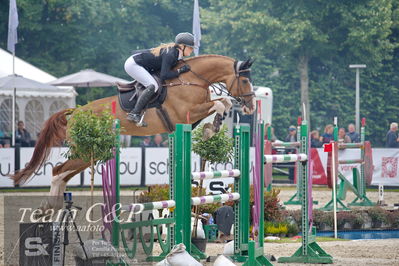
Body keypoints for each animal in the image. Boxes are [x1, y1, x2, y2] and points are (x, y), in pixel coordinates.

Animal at [13, 54, 256, 212]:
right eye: (245, 80)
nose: (250, 108)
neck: (191, 79)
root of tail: (75, 113)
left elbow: (223, 103)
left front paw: (210, 129)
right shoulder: (187, 112)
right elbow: (221, 103)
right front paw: (210, 129)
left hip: (89, 153)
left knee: (63, 174)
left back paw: (51, 208)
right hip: (84, 150)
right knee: (57, 171)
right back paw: (49, 207)